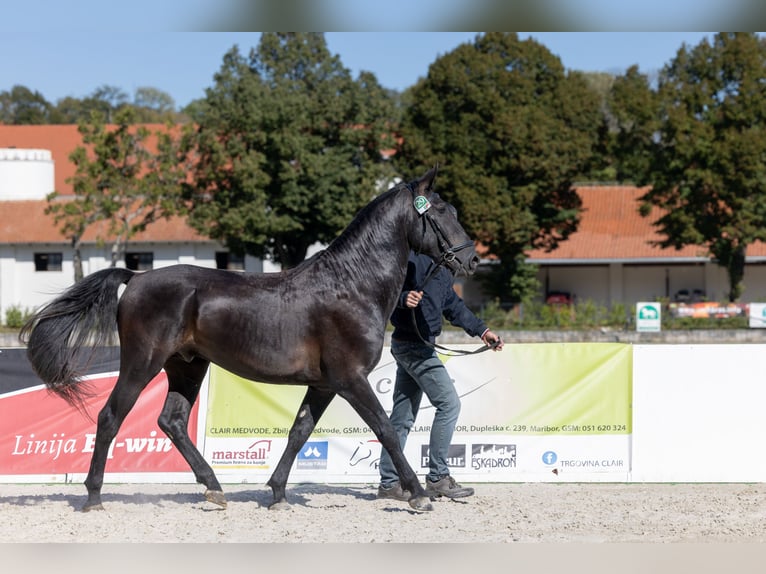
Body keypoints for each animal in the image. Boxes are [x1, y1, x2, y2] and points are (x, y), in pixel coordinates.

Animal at [20, 167, 479, 513]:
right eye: (441, 211)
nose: (471, 259)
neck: (351, 284)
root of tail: (135, 277)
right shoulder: (350, 380)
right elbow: (385, 429)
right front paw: (418, 495)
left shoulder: (324, 384)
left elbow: (299, 432)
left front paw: (276, 492)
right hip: (141, 362)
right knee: (111, 417)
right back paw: (94, 496)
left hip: (187, 366)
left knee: (171, 421)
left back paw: (213, 488)